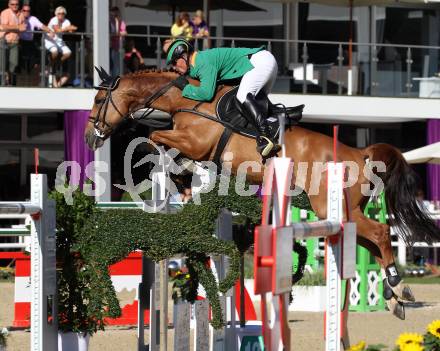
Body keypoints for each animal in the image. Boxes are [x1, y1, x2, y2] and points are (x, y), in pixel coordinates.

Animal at [85, 67, 440, 320]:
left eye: (99, 100)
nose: (90, 136)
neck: (189, 101)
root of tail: (361, 153)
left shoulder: (195, 142)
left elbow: (154, 135)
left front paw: (174, 165)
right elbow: (158, 136)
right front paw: (180, 171)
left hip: (333, 210)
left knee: (381, 233)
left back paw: (399, 287)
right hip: (343, 215)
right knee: (375, 243)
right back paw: (395, 297)